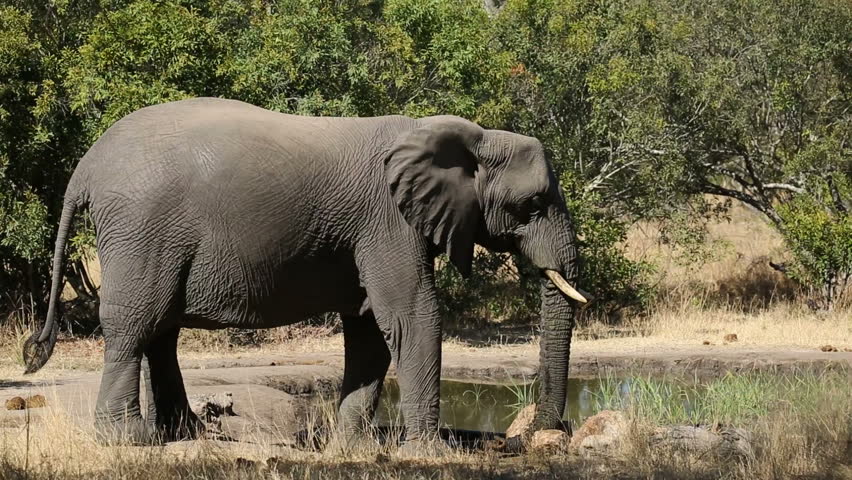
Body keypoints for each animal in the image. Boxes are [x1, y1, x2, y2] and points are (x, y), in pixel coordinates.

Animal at [23, 98, 588, 450]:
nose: (540, 434)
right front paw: (429, 453)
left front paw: (351, 447)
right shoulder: (388, 221)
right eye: (533, 205)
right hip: (141, 228)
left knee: (161, 328)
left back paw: (184, 435)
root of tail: (86, 167)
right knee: (135, 326)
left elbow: (370, 329)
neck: (469, 135)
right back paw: (131, 441)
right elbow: (410, 315)